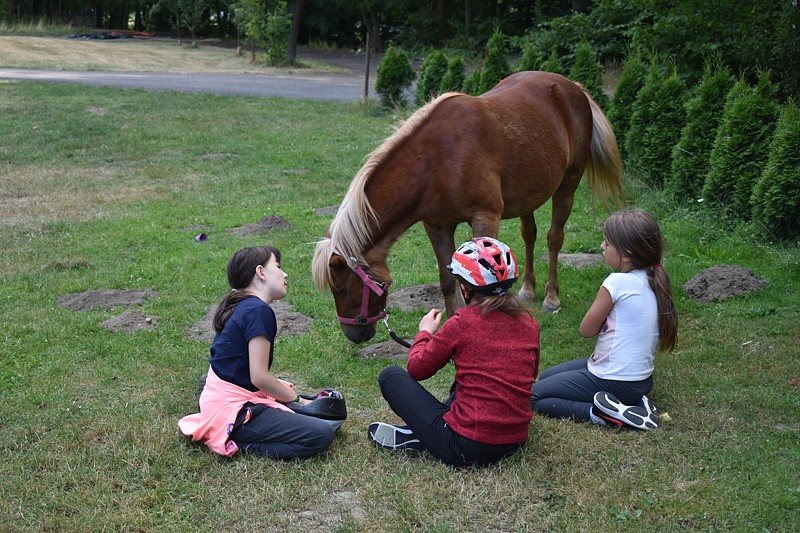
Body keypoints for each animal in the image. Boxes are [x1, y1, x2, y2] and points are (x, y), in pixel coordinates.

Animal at [312, 70, 624, 342]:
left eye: (341, 288)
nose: (355, 334)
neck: (437, 159)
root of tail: (573, 87)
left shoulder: (485, 218)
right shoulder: (436, 226)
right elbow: (447, 279)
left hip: (567, 185)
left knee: (554, 238)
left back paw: (551, 297)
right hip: (528, 195)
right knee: (529, 235)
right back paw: (527, 289)